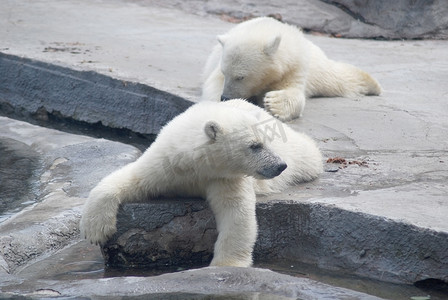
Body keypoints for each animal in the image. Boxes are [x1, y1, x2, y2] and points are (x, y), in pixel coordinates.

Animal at [80, 99, 322, 268]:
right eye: (255, 145)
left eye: (267, 141)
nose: (280, 165)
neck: (195, 164)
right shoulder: (165, 164)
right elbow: (132, 179)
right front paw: (95, 229)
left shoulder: (224, 177)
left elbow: (236, 213)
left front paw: (225, 265)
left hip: (294, 151)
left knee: (308, 153)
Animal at [203, 16, 382, 120]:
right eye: (225, 73)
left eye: (241, 76)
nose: (225, 97)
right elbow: (212, 84)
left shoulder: (293, 67)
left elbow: (293, 92)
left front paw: (273, 102)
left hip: (316, 67)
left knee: (335, 79)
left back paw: (372, 84)